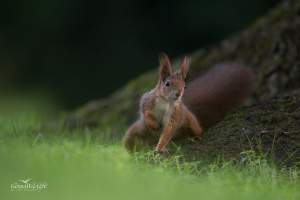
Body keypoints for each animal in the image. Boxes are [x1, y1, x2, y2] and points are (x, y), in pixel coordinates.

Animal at [123, 52, 254, 152]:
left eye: (184, 86)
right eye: (167, 83)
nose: (178, 94)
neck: (166, 101)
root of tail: (152, 139)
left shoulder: (176, 113)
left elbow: (169, 129)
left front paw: (160, 148)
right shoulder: (148, 100)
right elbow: (145, 112)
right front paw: (152, 124)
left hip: (189, 120)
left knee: (198, 130)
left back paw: (193, 137)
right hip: (139, 130)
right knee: (129, 137)